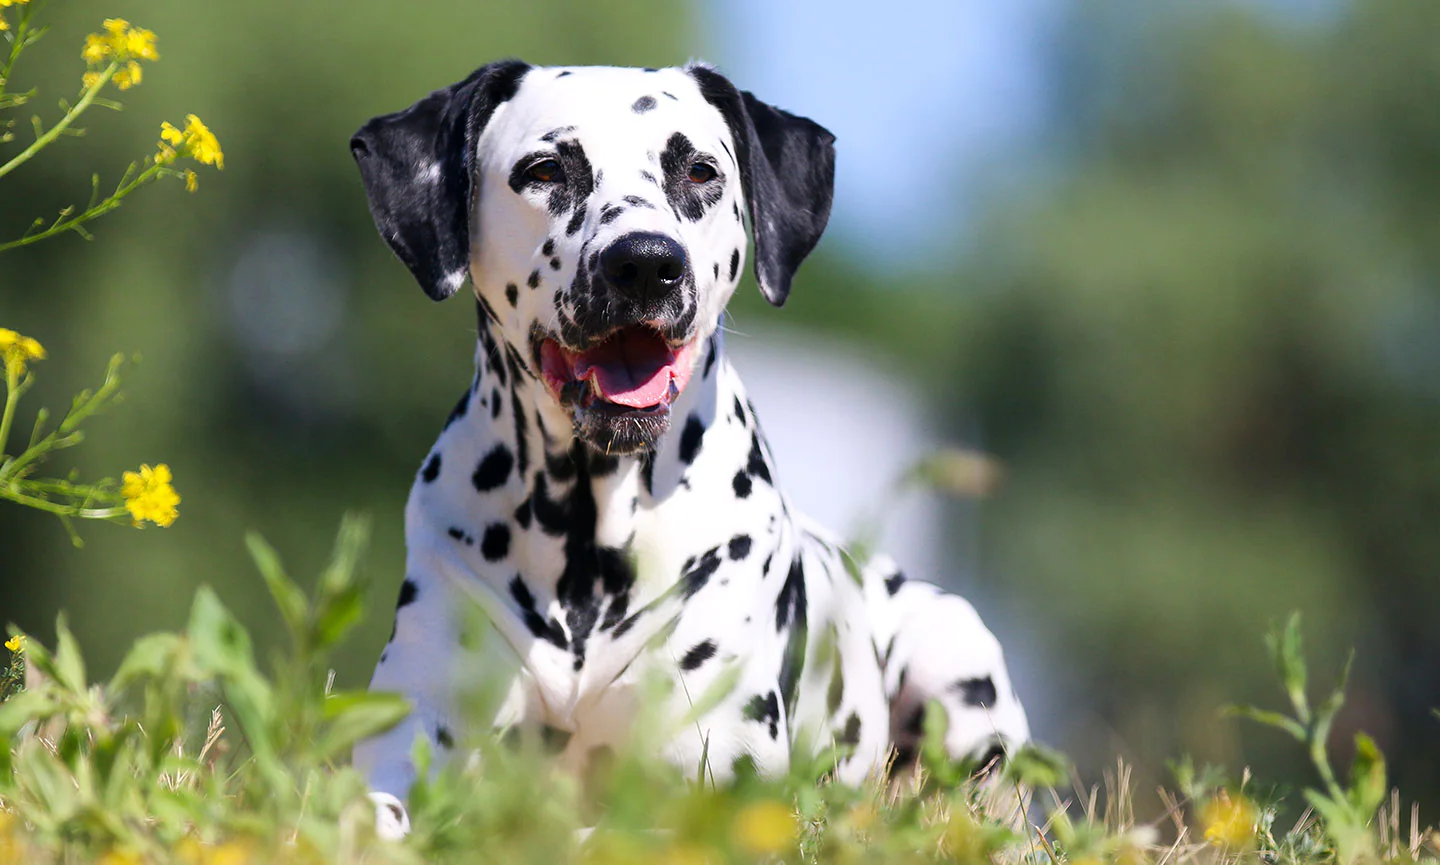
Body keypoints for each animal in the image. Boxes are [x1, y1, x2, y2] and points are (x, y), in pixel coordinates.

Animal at [345, 57, 1036, 834]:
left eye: (700, 170)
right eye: (546, 169)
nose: (646, 262)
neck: (587, 537)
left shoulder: (721, 776)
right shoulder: (415, 727)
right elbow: (374, 805)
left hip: (952, 660)